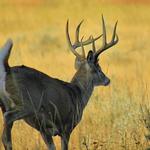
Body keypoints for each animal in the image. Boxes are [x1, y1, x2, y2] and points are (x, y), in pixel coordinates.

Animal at [0, 15, 118, 149]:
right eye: (98, 68)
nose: (107, 80)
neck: (77, 94)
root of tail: (7, 70)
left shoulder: (44, 130)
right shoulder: (66, 126)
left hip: (4, 105)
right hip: (27, 103)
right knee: (8, 120)